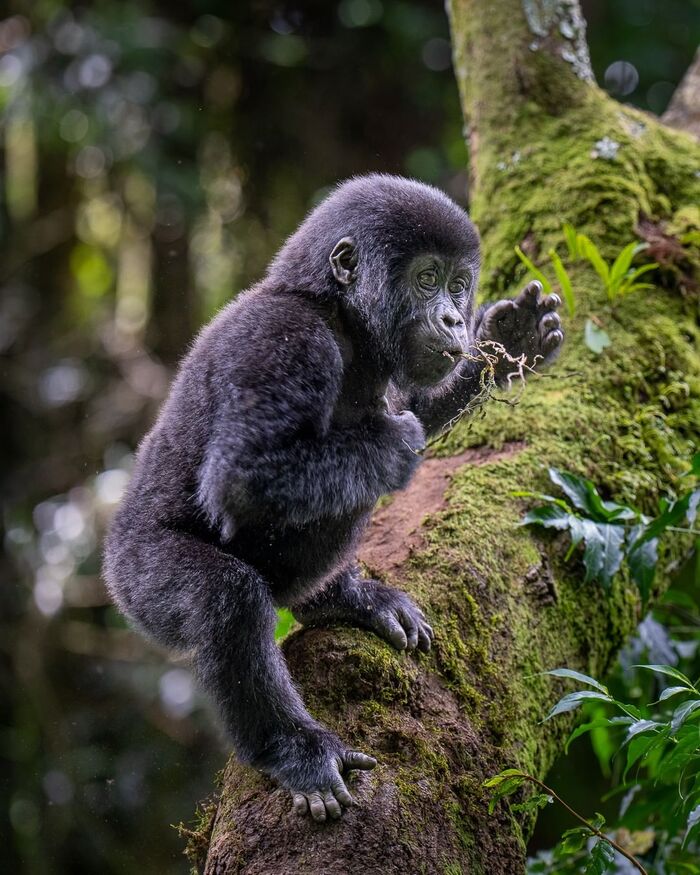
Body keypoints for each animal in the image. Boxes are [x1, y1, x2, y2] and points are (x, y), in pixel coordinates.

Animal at [104, 176, 564, 820]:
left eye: (458, 284)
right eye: (427, 279)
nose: (454, 317)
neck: (337, 312)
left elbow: (414, 402)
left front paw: (505, 341)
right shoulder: (285, 341)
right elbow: (244, 476)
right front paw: (395, 444)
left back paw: (341, 599)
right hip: (135, 579)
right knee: (229, 597)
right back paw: (295, 751)